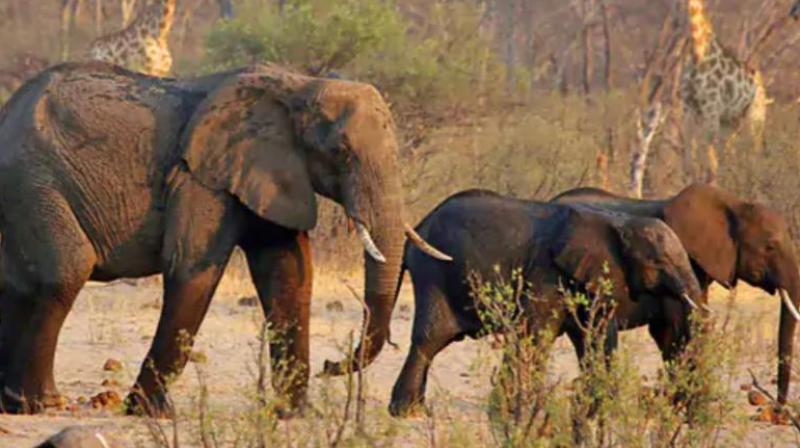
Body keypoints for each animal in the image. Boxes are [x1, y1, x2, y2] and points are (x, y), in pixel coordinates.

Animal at [0, 61, 449, 415]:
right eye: (340, 152)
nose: (331, 365)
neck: (298, 85)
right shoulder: (201, 180)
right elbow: (192, 269)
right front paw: (149, 413)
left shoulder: (269, 173)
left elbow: (289, 274)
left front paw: (293, 414)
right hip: (30, 182)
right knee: (66, 271)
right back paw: (42, 404)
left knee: (18, 287)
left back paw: (12, 404)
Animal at [388, 189, 705, 416]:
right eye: (659, 263)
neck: (617, 221)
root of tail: (417, 226)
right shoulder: (547, 273)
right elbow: (536, 334)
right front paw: (515, 411)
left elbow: (595, 337)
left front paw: (598, 408)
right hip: (434, 272)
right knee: (431, 338)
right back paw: (407, 413)